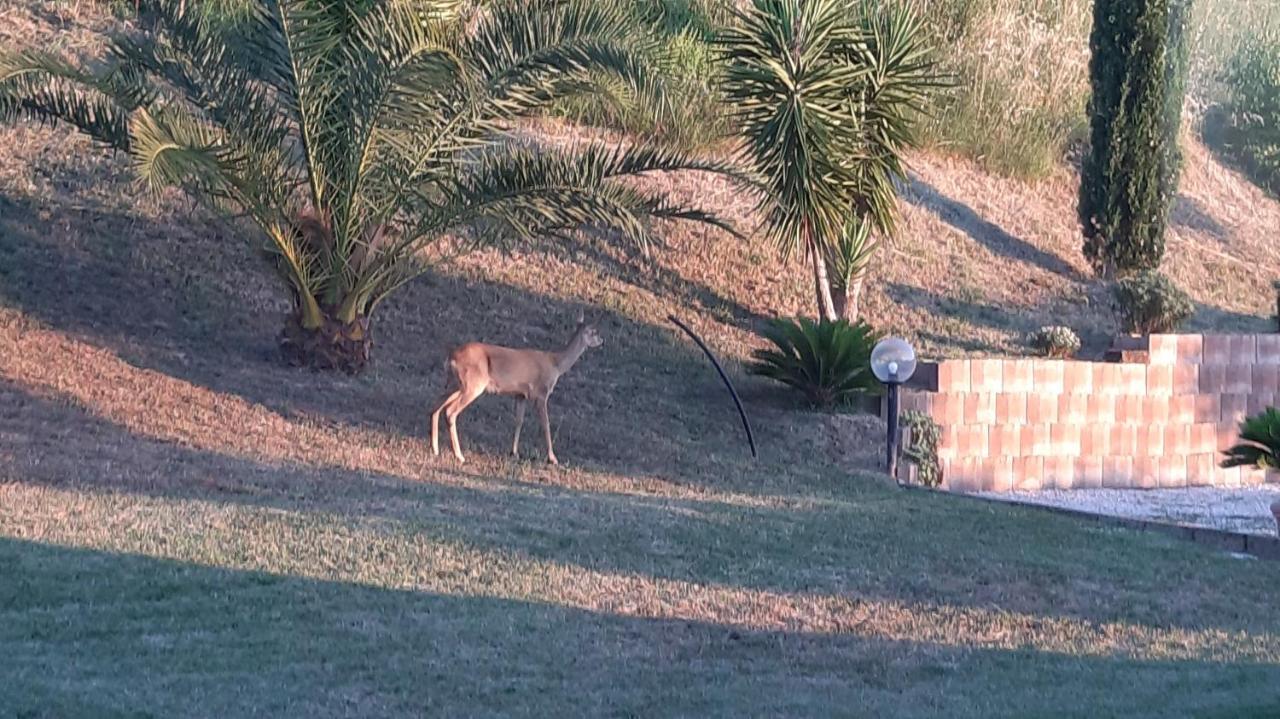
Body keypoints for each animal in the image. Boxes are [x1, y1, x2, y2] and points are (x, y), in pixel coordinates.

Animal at [432, 310, 601, 460]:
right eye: (593, 332)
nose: (601, 340)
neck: (556, 365)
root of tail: (451, 357)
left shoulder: (520, 394)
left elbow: (519, 421)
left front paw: (514, 452)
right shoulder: (541, 393)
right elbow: (546, 424)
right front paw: (552, 458)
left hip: (454, 383)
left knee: (436, 405)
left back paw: (435, 449)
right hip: (472, 384)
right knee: (450, 411)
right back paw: (459, 456)